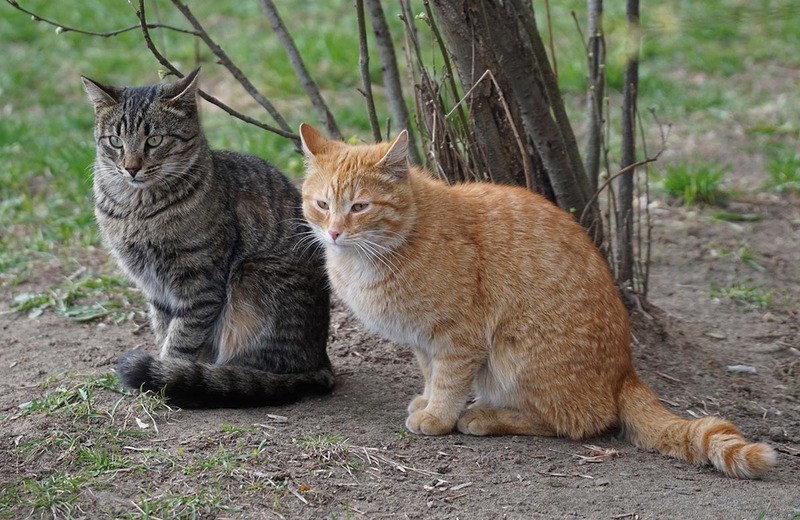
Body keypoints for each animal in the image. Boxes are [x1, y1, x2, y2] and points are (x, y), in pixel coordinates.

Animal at [81, 69, 332, 408]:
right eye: (115, 141)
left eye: (154, 140)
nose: (131, 168)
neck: (137, 210)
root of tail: (322, 361)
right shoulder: (153, 287)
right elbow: (164, 329)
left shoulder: (199, 281)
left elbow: (181, 338)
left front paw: (165, 377)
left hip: (252, 277)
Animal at [298, 123, 776, 480]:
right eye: (322, 204)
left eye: (359, 207)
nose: (334, 232)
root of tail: (626, 371)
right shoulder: (422, 340)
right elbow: (432, 374)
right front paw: (428, 401)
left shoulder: (458, 337)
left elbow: (449, 381)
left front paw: (438, 416)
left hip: (515, 351)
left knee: (578, 421)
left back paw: (484, 416)